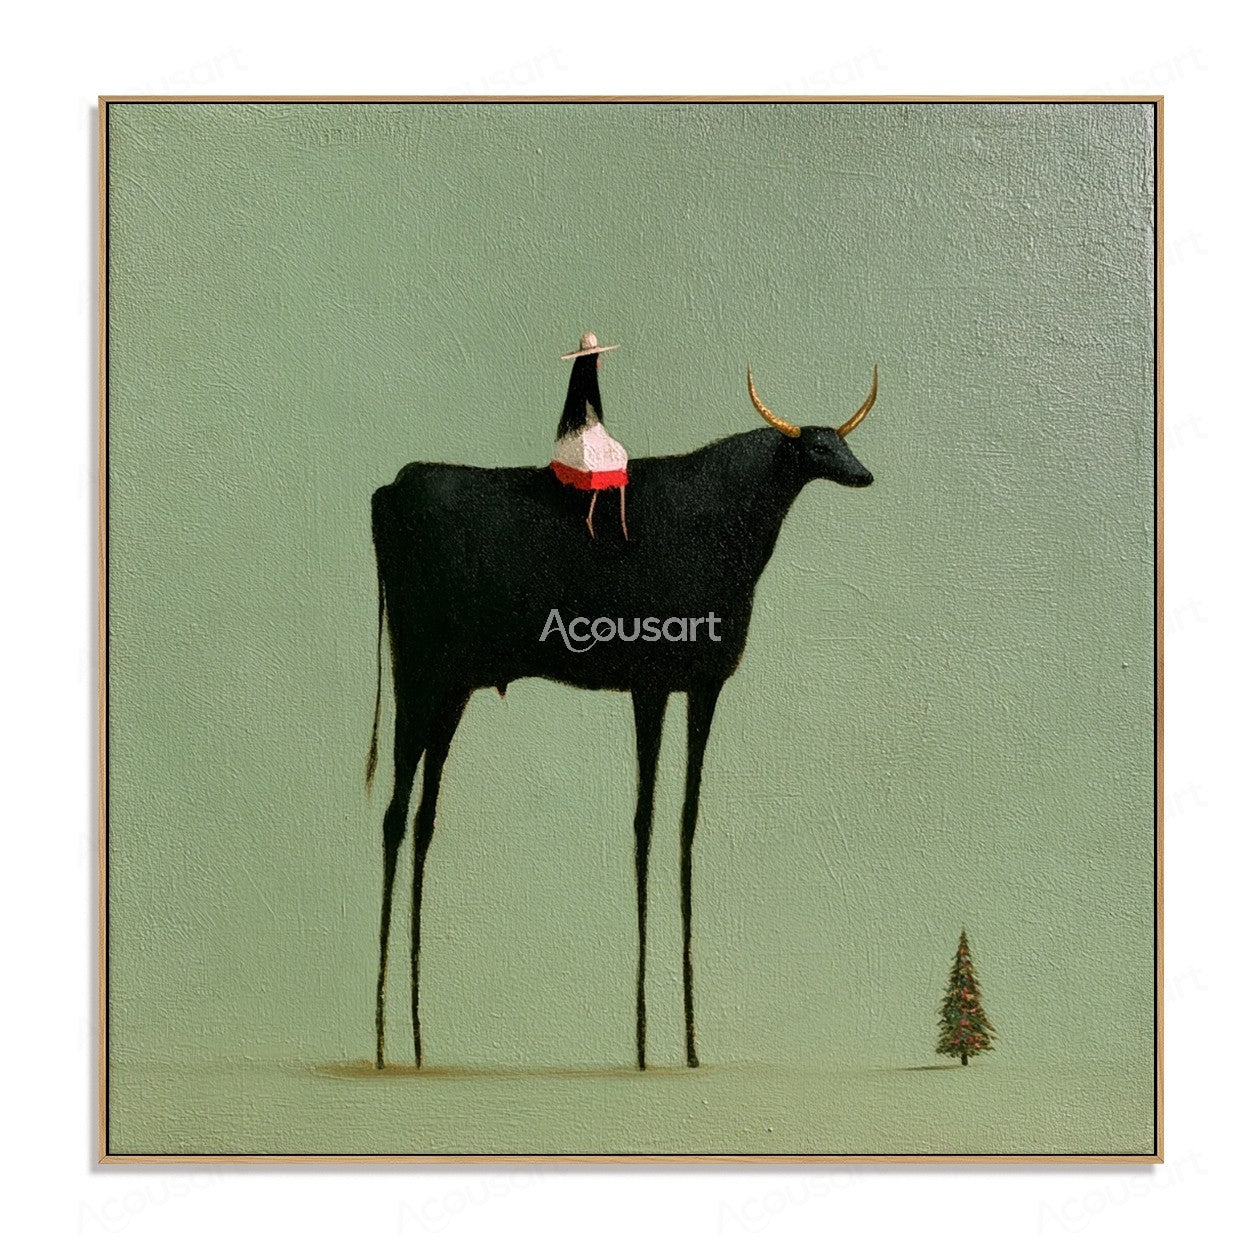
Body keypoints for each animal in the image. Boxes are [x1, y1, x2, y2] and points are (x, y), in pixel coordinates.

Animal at [366, 365, 879, 1069]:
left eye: (843, 443)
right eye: (819, 447)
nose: (864, 474)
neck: (722, 525)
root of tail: (391, 490)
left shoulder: (702, 686)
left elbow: (684, 824)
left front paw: (687, 1041)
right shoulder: (651, 685)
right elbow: (644, 825)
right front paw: (642, 1040)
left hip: (451, 692)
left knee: (422, 820)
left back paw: (417, 1040)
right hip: (418, 677)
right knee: (393, 817)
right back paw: (383, 1038)